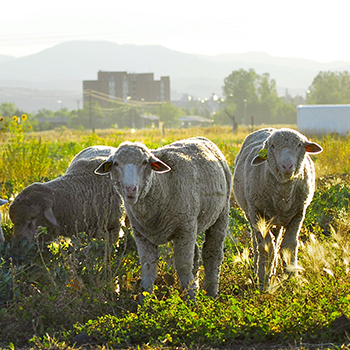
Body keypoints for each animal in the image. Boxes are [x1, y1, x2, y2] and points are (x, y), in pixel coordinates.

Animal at [95, 137, 232, 300]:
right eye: (116, 164)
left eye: (144, 162)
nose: (130, 189)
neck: (162, 184)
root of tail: (201, 138)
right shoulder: (142, 234)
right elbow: (148, 267)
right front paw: (145, 300)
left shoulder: (184, 230)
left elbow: (183, 266)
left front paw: (191, 300)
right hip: (192, 225)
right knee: (196, 255)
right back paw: (196, 287)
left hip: (220, 215)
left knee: (212, 253)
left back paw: (211, 293)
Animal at [232, 127, 322, 286]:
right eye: (273, 146)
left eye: (299, 145)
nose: (287, 166)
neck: (283, 196)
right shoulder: (258, 213)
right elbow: (266, 248)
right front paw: (264, 282)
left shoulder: (298, 214)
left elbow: (289, 246)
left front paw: (292, 278)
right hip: (251, 214)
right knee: (256, 242)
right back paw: (258, 269)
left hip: (277, 220)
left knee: (277, 239)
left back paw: (273, 270)